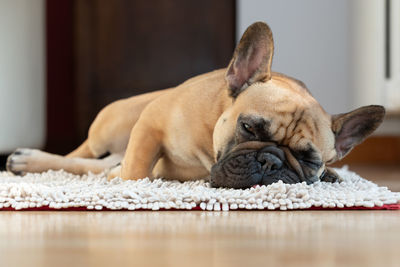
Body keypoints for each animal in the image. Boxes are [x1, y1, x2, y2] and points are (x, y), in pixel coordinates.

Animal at [5, 22, 384, 189]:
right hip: (111, 126)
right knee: (83, 154)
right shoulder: (152, 121)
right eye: (248, 127)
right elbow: (135, 171)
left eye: (310, 160)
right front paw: (128, 183)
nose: (270, 161)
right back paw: (28, 159)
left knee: (95, 164)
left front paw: (329, 173)